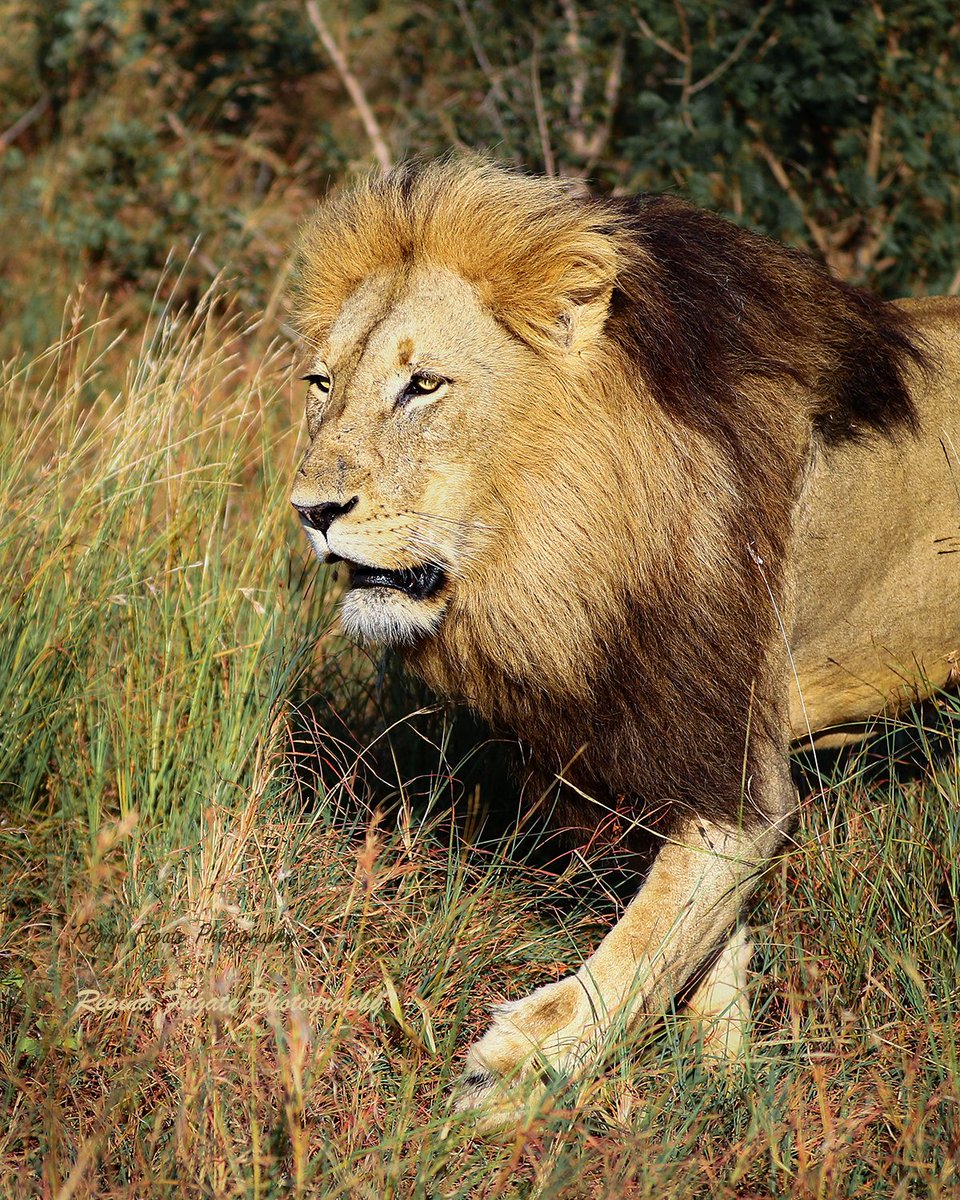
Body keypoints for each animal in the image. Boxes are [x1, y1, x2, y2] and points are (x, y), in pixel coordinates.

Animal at [288, 159, 960, 1128]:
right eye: (320, 384)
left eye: (423, 386)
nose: (310, 511)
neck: (562, 544)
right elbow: (704, 947)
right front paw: (727, 1087)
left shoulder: (734, 767)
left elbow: (646, 942)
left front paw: (513, 1075)